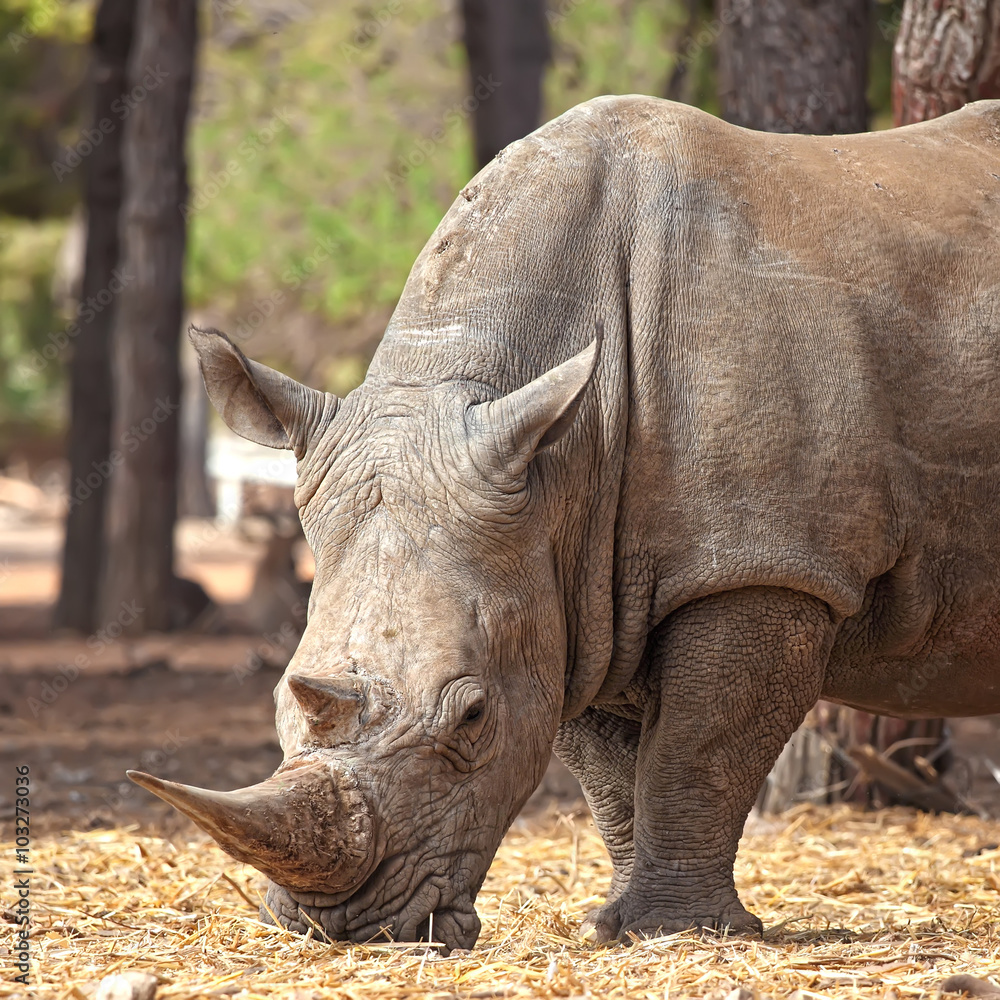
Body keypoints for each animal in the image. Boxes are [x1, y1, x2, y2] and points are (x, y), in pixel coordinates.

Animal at [130, 95, 1000, 950]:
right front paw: (613, 927)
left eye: (474, 716)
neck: (564, 459)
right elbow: (610, 774)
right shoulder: (566, 575)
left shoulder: (763, 561)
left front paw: (679, 930)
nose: (341, 926)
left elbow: (698, 750)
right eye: (280, 696)